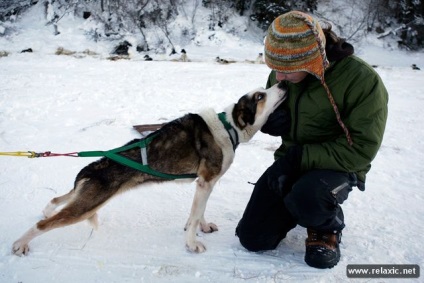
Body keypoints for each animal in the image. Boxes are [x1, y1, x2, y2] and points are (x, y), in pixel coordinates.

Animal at [11, 82, 286, 258]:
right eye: (259, 96)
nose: (283, 84)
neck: (228, 126)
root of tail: (91, 168)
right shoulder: (206, 181)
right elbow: (195, 215)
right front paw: (192, 243)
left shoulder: (204, 183)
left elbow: (198, 213)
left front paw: (201, 227)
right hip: (86, 206)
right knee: (43, 225)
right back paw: (19, 244)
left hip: (84, 199)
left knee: (57, 200)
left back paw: (46, 210)